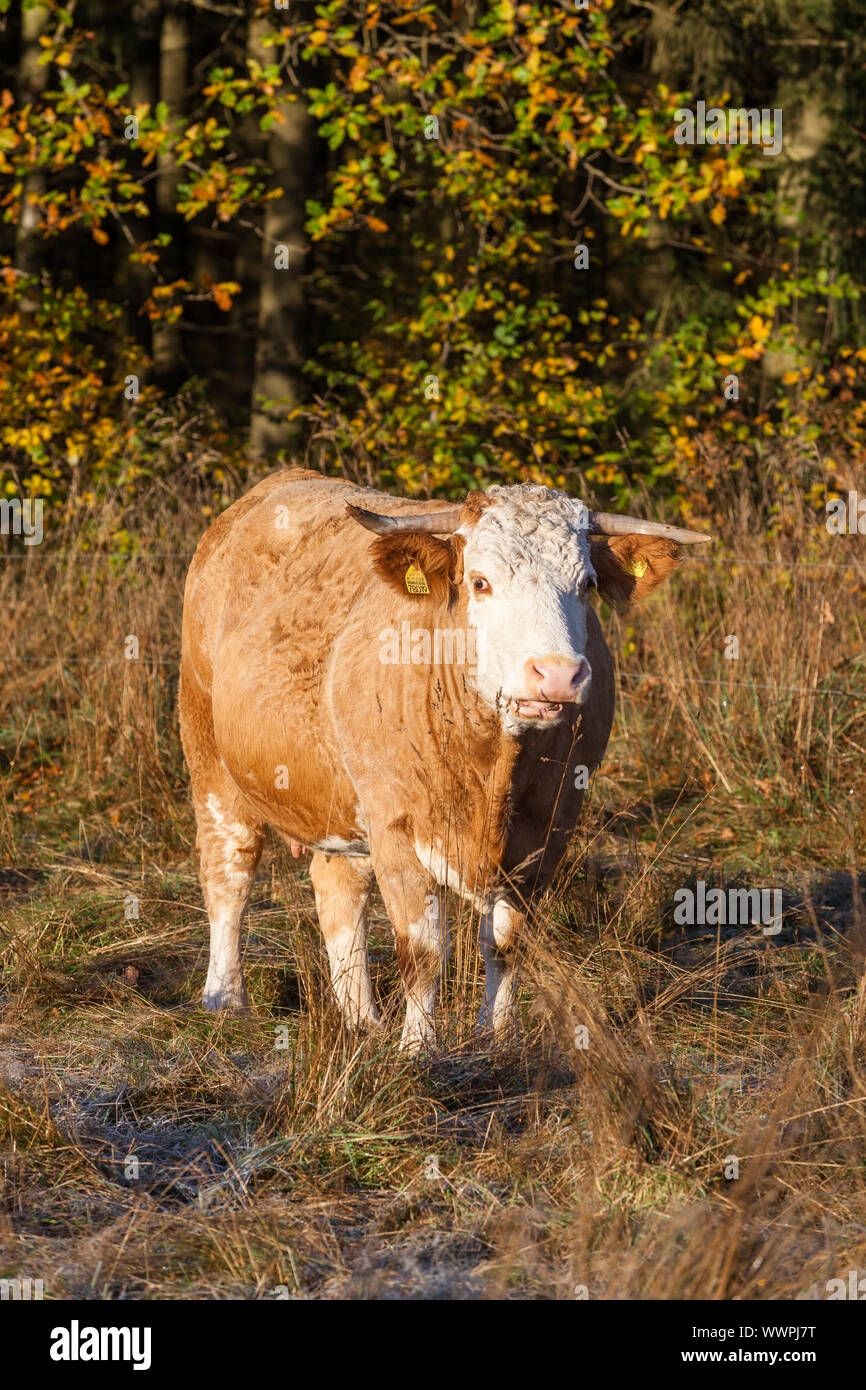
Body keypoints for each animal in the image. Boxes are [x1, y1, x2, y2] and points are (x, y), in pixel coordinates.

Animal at [177, 464, 711, 1045]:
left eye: (587, 585)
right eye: (480, 582)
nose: (558, 675)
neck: (494, 768)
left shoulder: (549, 827)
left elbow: (506, 945)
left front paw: (496, 1038)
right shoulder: (397, 825)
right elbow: (425, 950)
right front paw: (418, 1047)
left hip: (342, 796)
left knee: (338, 886)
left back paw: (361, 1019)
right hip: (208, 749)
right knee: (229, 871)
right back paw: (225, 999)